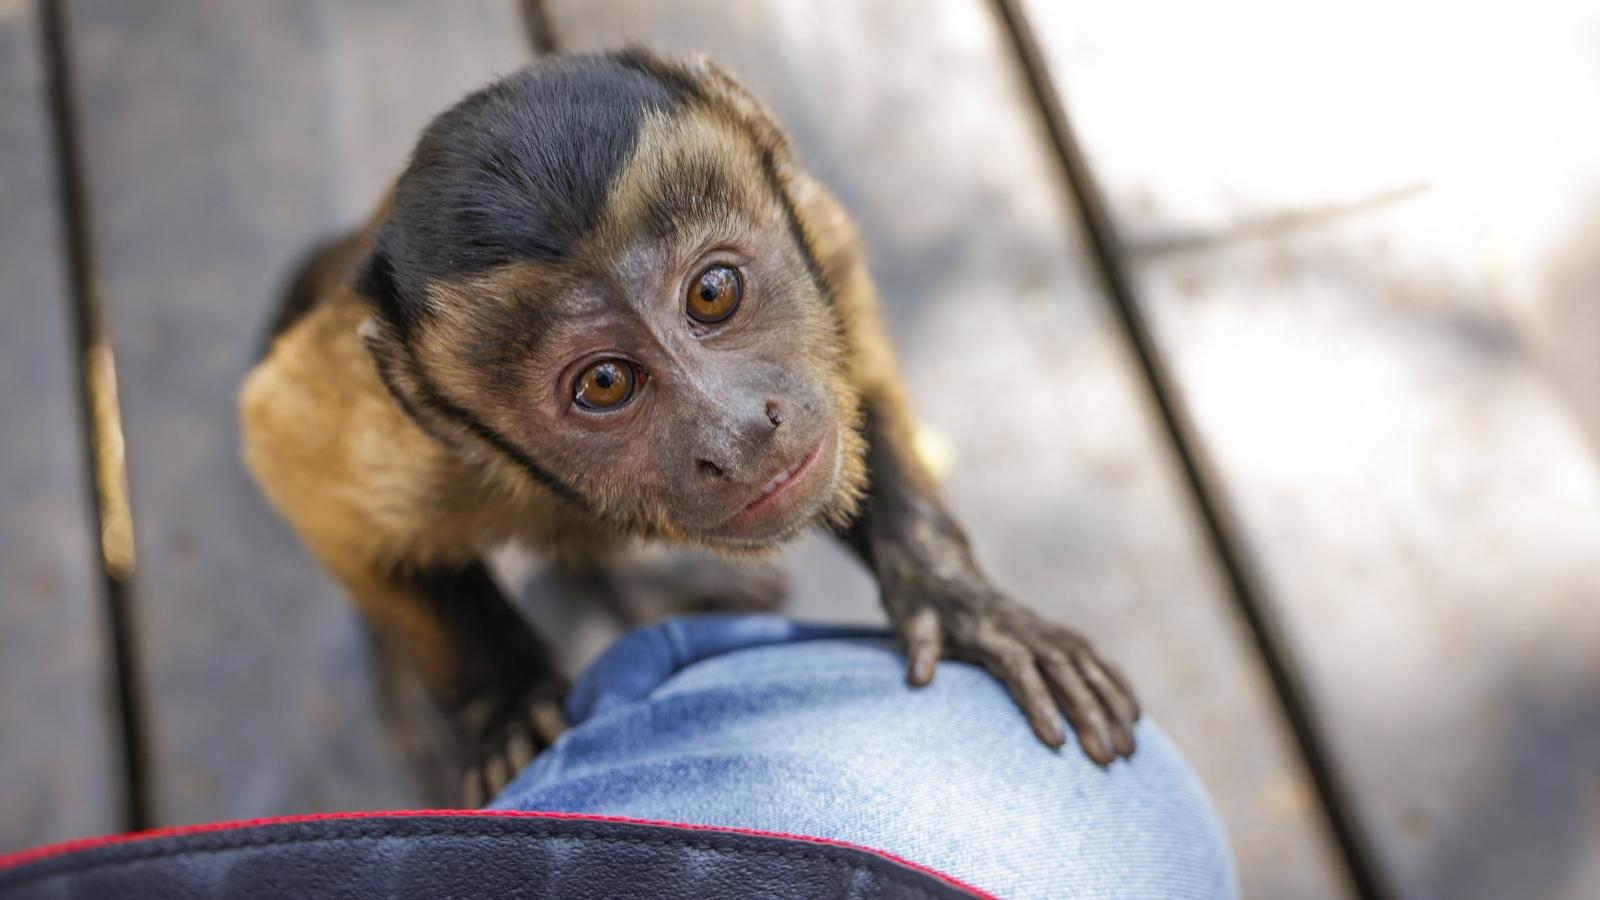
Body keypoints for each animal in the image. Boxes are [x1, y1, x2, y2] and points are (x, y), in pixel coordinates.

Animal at [240, 49, 1139, 802]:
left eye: (712, 294)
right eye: (605, 383)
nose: (738, 431)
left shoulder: (815, 223)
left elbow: (858, 357)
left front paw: (953, 595)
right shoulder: (396, 438)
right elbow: (294, 463)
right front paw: (505, 709)